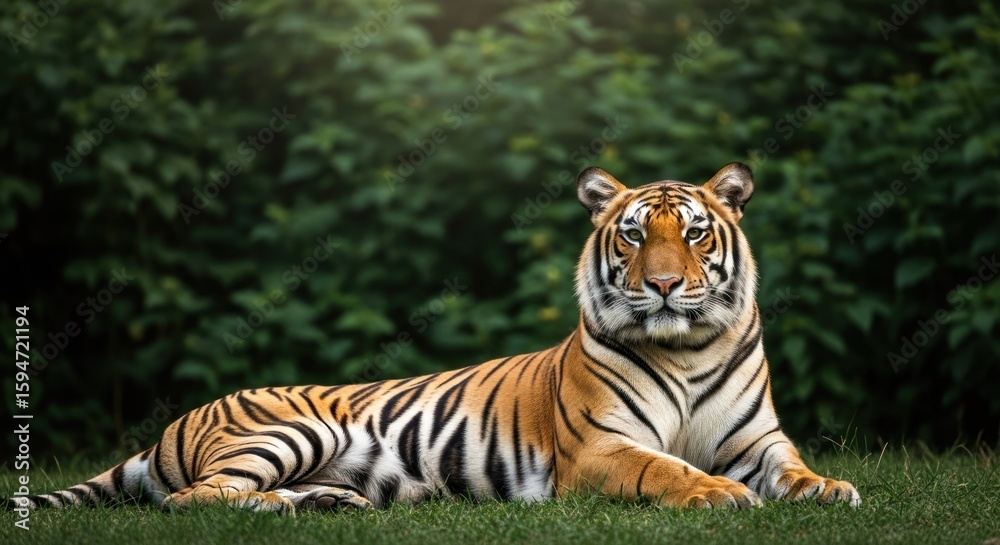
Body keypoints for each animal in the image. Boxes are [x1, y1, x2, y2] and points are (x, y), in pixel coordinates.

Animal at [10, 162, 859, 514]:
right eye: (631, 236)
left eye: (691, 233)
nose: (662, 285)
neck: (688, 348)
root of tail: (172, 424)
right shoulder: (600, 449)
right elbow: (666, 468)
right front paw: (715, 492)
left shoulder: (758, 440)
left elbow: (792, 469)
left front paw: (830, 488)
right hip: (291, 429)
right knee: (197, 500)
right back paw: (284, 508)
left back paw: (329, 504)